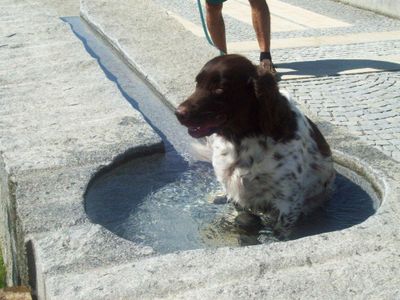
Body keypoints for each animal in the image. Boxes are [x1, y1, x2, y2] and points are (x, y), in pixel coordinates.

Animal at [175, 54, 334, 239]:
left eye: (219, 89)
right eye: (197, 83)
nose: (178, 113)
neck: (242, 139)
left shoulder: (288, 201)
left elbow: (279, 231)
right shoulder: (237, 190)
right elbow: (242, 215)